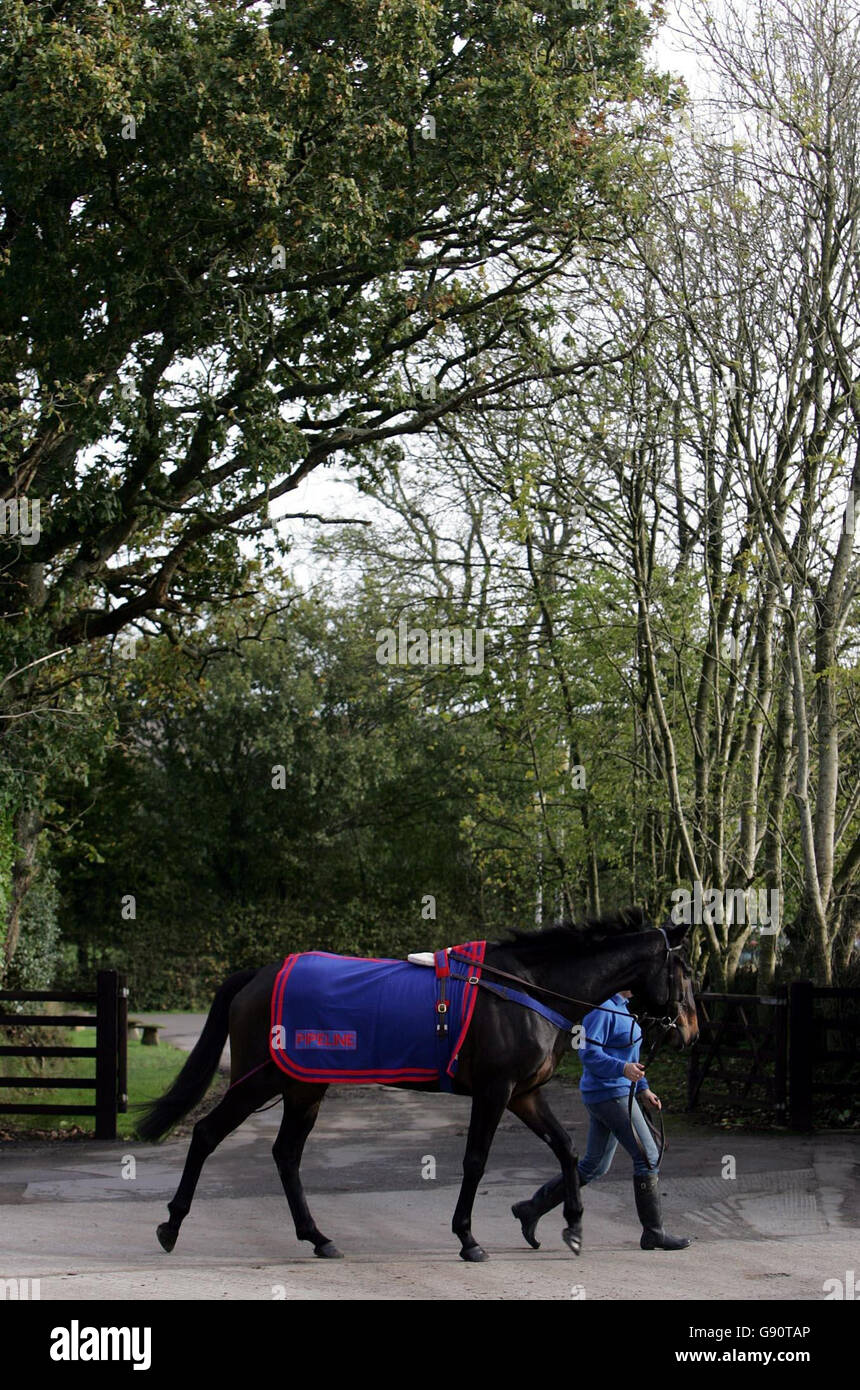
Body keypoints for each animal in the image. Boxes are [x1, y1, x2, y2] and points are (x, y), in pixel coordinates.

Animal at [136, 906, 700, 1267]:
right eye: (685, 970)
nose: (691, 1030)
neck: (525, 991)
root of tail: (257, 976)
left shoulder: (523, 1093)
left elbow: (564, 1148)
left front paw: (572, 1225)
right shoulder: (495, 1091)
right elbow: (475, 1161)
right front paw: (469, 1239)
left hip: (304, 1089)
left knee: (286, 1155)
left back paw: (318, 1238)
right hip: (262, 1081)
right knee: (207, 1134)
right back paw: (170, 1226)